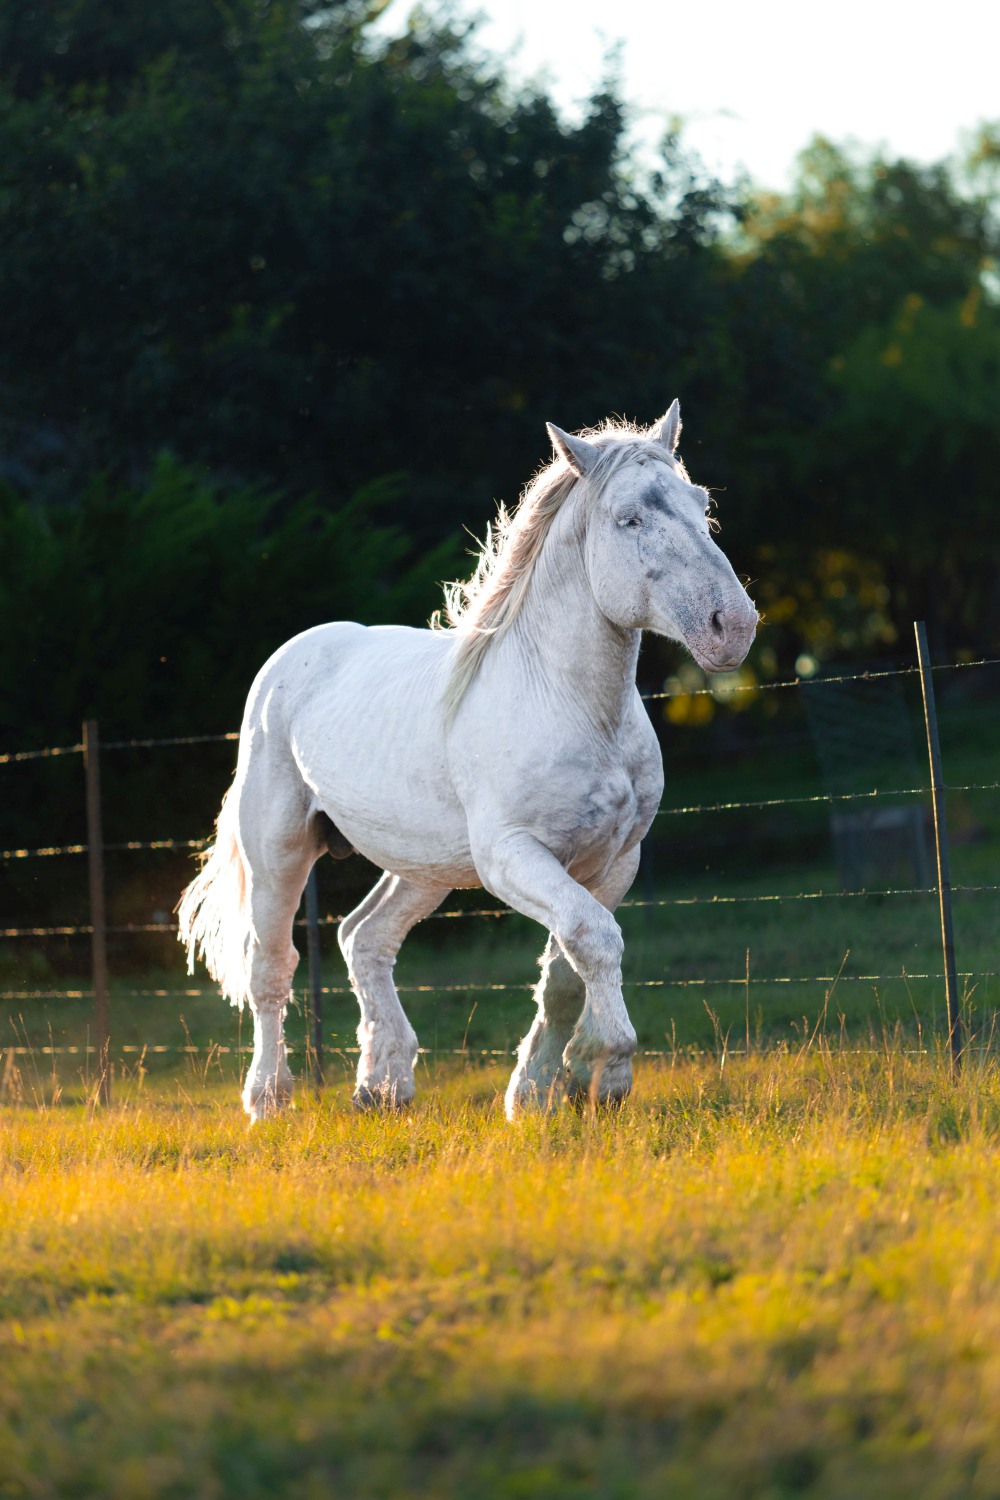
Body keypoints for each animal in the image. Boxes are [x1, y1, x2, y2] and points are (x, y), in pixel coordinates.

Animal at [178, 401, 758, 1122]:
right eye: (629, 518)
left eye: (701, 504)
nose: (733, 627)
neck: (567, 702)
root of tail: (291, 658)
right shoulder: (513, 856)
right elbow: (595, 939)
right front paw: (610, 1070)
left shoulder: (614, 861)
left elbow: (565, 970)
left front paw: (537, 1093)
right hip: (279, 850)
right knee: (270, 966)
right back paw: (268, 1102)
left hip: (421, 865)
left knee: (364, 938)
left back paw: (382, 1087)